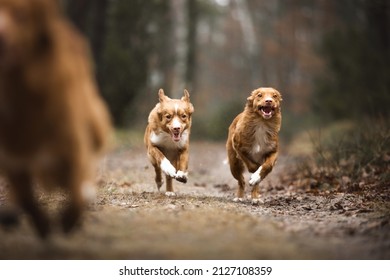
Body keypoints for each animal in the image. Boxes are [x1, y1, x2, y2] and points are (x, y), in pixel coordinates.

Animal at [0, 0, 111, 238]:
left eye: (21, 14)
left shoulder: (73, 145)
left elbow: (77, 192)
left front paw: (69, 221)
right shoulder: (13, 156)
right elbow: (27, 198)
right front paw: (42, 226)